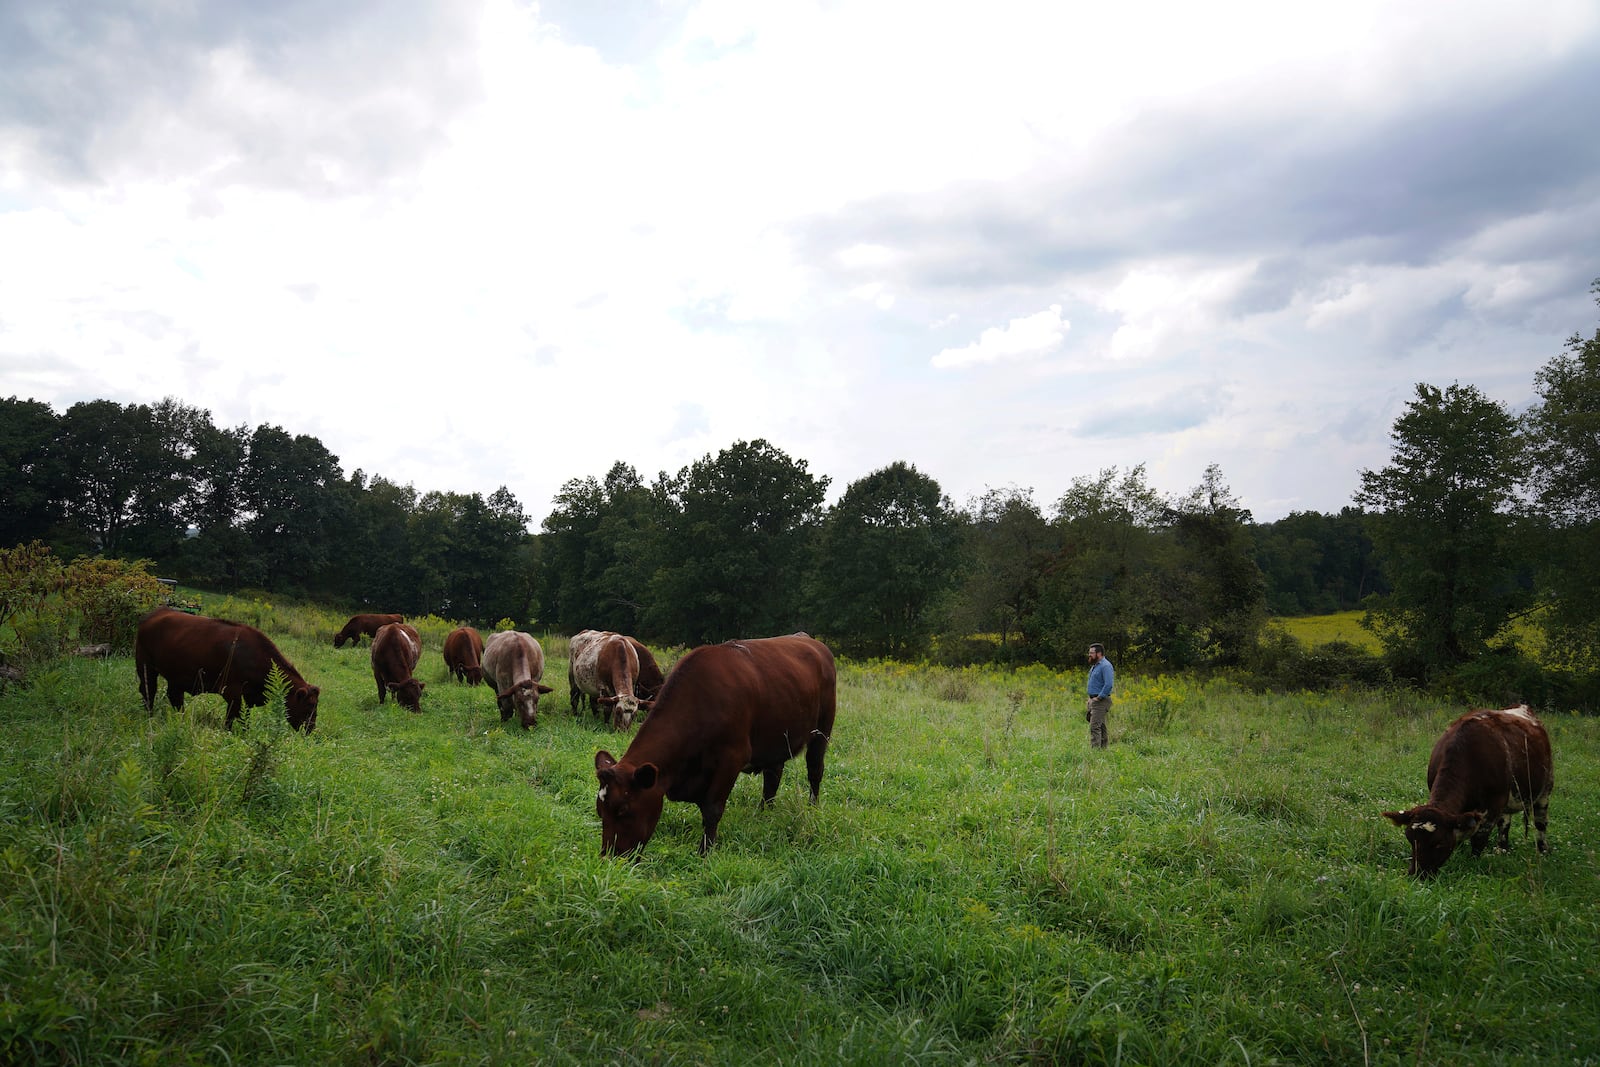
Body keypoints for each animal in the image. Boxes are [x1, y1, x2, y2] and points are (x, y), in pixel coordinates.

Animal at [139, 607, 323, 735]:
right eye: (310, 705)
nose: (310, 729)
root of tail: (157, 612)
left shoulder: (245, 697)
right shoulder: (232, 693)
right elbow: (235, 717)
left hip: (175, 677)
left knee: (174, 697)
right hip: (145, 667)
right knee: (149, 691)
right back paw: (149, 716)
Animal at [598, 633, 838, 857]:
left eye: (623, 809)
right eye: (600, 811)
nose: (610, 856)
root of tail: (811, 641)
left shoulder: (732, 759)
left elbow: (712, 809)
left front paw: (705, 851)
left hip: (821, 731)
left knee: (815, 770)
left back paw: (812, 807)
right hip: (776, 738)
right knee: (772, 777)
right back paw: (764, 813)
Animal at [1382, 703, 1555, 883]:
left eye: (1439, 843)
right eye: (1410, 838)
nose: (1417, 874)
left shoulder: (1492, 806)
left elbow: (1478, 840)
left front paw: (1473, 863)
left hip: (1546, 788)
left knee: (1540, 823)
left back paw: (1542, 851)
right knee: (1505, 823)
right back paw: (1502, 850)